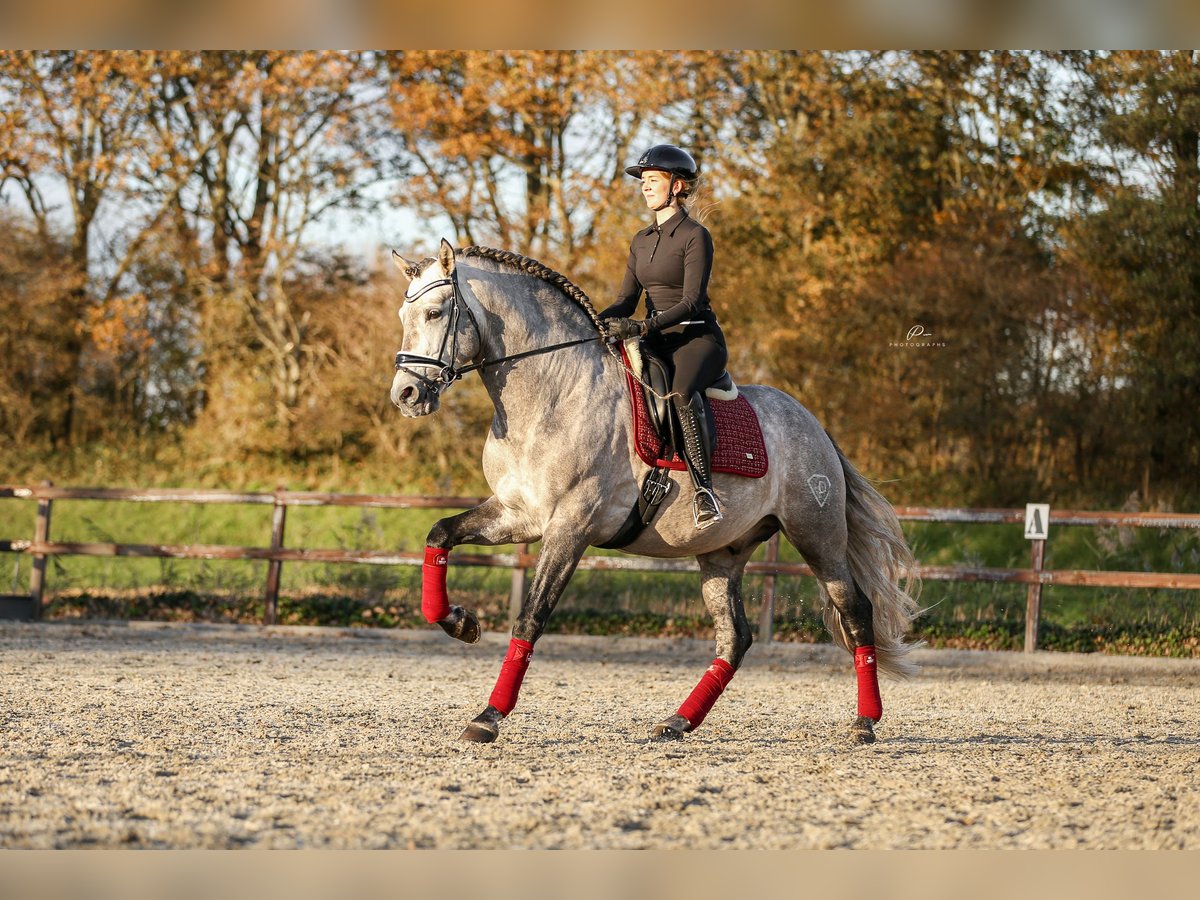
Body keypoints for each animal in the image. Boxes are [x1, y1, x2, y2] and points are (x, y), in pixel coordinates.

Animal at [388, 240, 921, 748]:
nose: (405, 396)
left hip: (817, 536)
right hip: (723, 553)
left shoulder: (570, 527)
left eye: (435, 313)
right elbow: (439, 534)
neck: (554, 393)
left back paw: (864, 723)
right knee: (735, 637)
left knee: (856, 612)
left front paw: (487, 718)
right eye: (403, 317)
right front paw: (459, 622)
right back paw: (677, 722)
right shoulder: (516, 515)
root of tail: (814, 424)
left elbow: (531, 618)